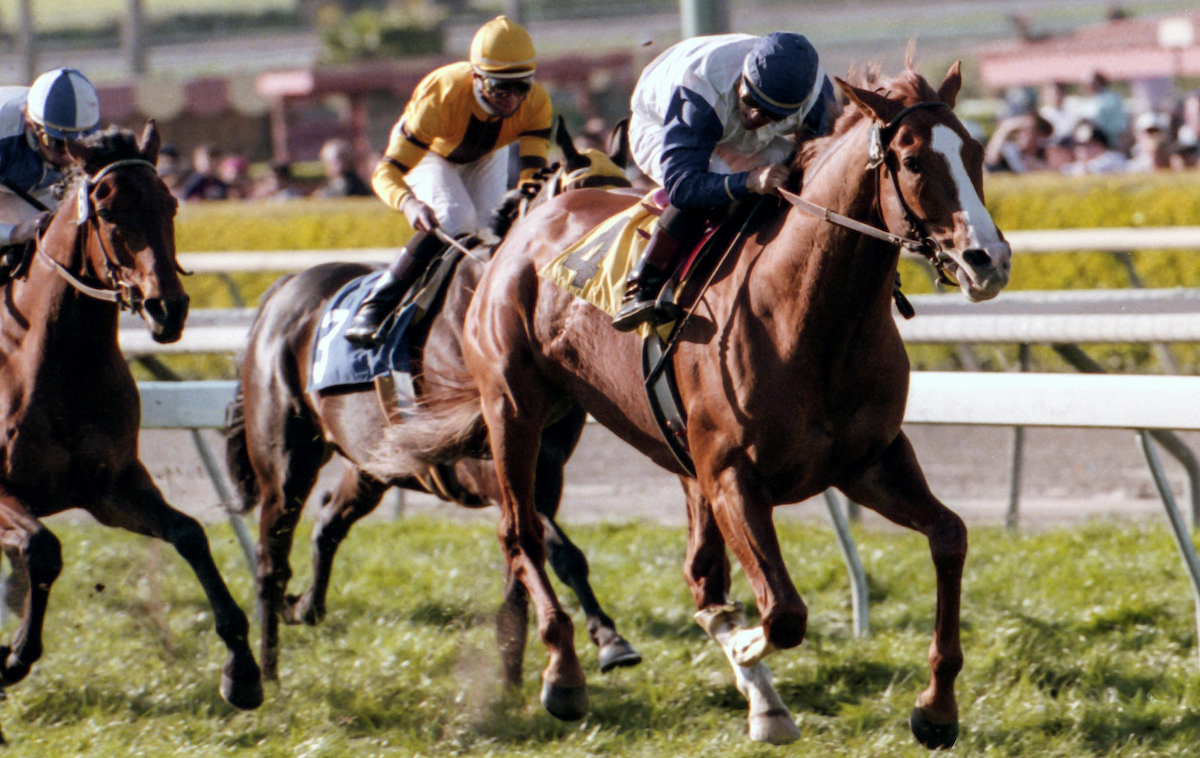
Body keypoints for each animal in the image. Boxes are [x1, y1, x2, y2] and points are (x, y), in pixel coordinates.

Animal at [0, 124, 262, 710]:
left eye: (171, 203)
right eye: (107, 209)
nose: (170, 308)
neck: (60, 361)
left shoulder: (110, 488)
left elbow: (190, 535)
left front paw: (243, 668)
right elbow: (42, 548)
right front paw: (14, 657)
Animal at [223, 121, 638, 686]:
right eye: (587, 208)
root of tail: (281, 289)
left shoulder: (545, 470)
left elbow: (527, 566)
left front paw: (516, 675)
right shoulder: (485, 467)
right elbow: (556, 548)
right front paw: (609, 639)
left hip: (375, 460)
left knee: (330, 519)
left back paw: (306, 606)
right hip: (286, 461)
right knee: (272, 558)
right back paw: (265, 674)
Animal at [403, 60, 1012, 748]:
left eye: (975, 150)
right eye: (910, 160)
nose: (989, 260)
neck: (809, 314)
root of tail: (521, 229)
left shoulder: (868, 460)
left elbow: (949, 537)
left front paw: (936, 707)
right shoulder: (730, 474)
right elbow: (782, 612)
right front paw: (745, 647)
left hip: (670, 450)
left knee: (693, 570)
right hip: (515, 407)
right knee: (522, 532)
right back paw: (563, 674)